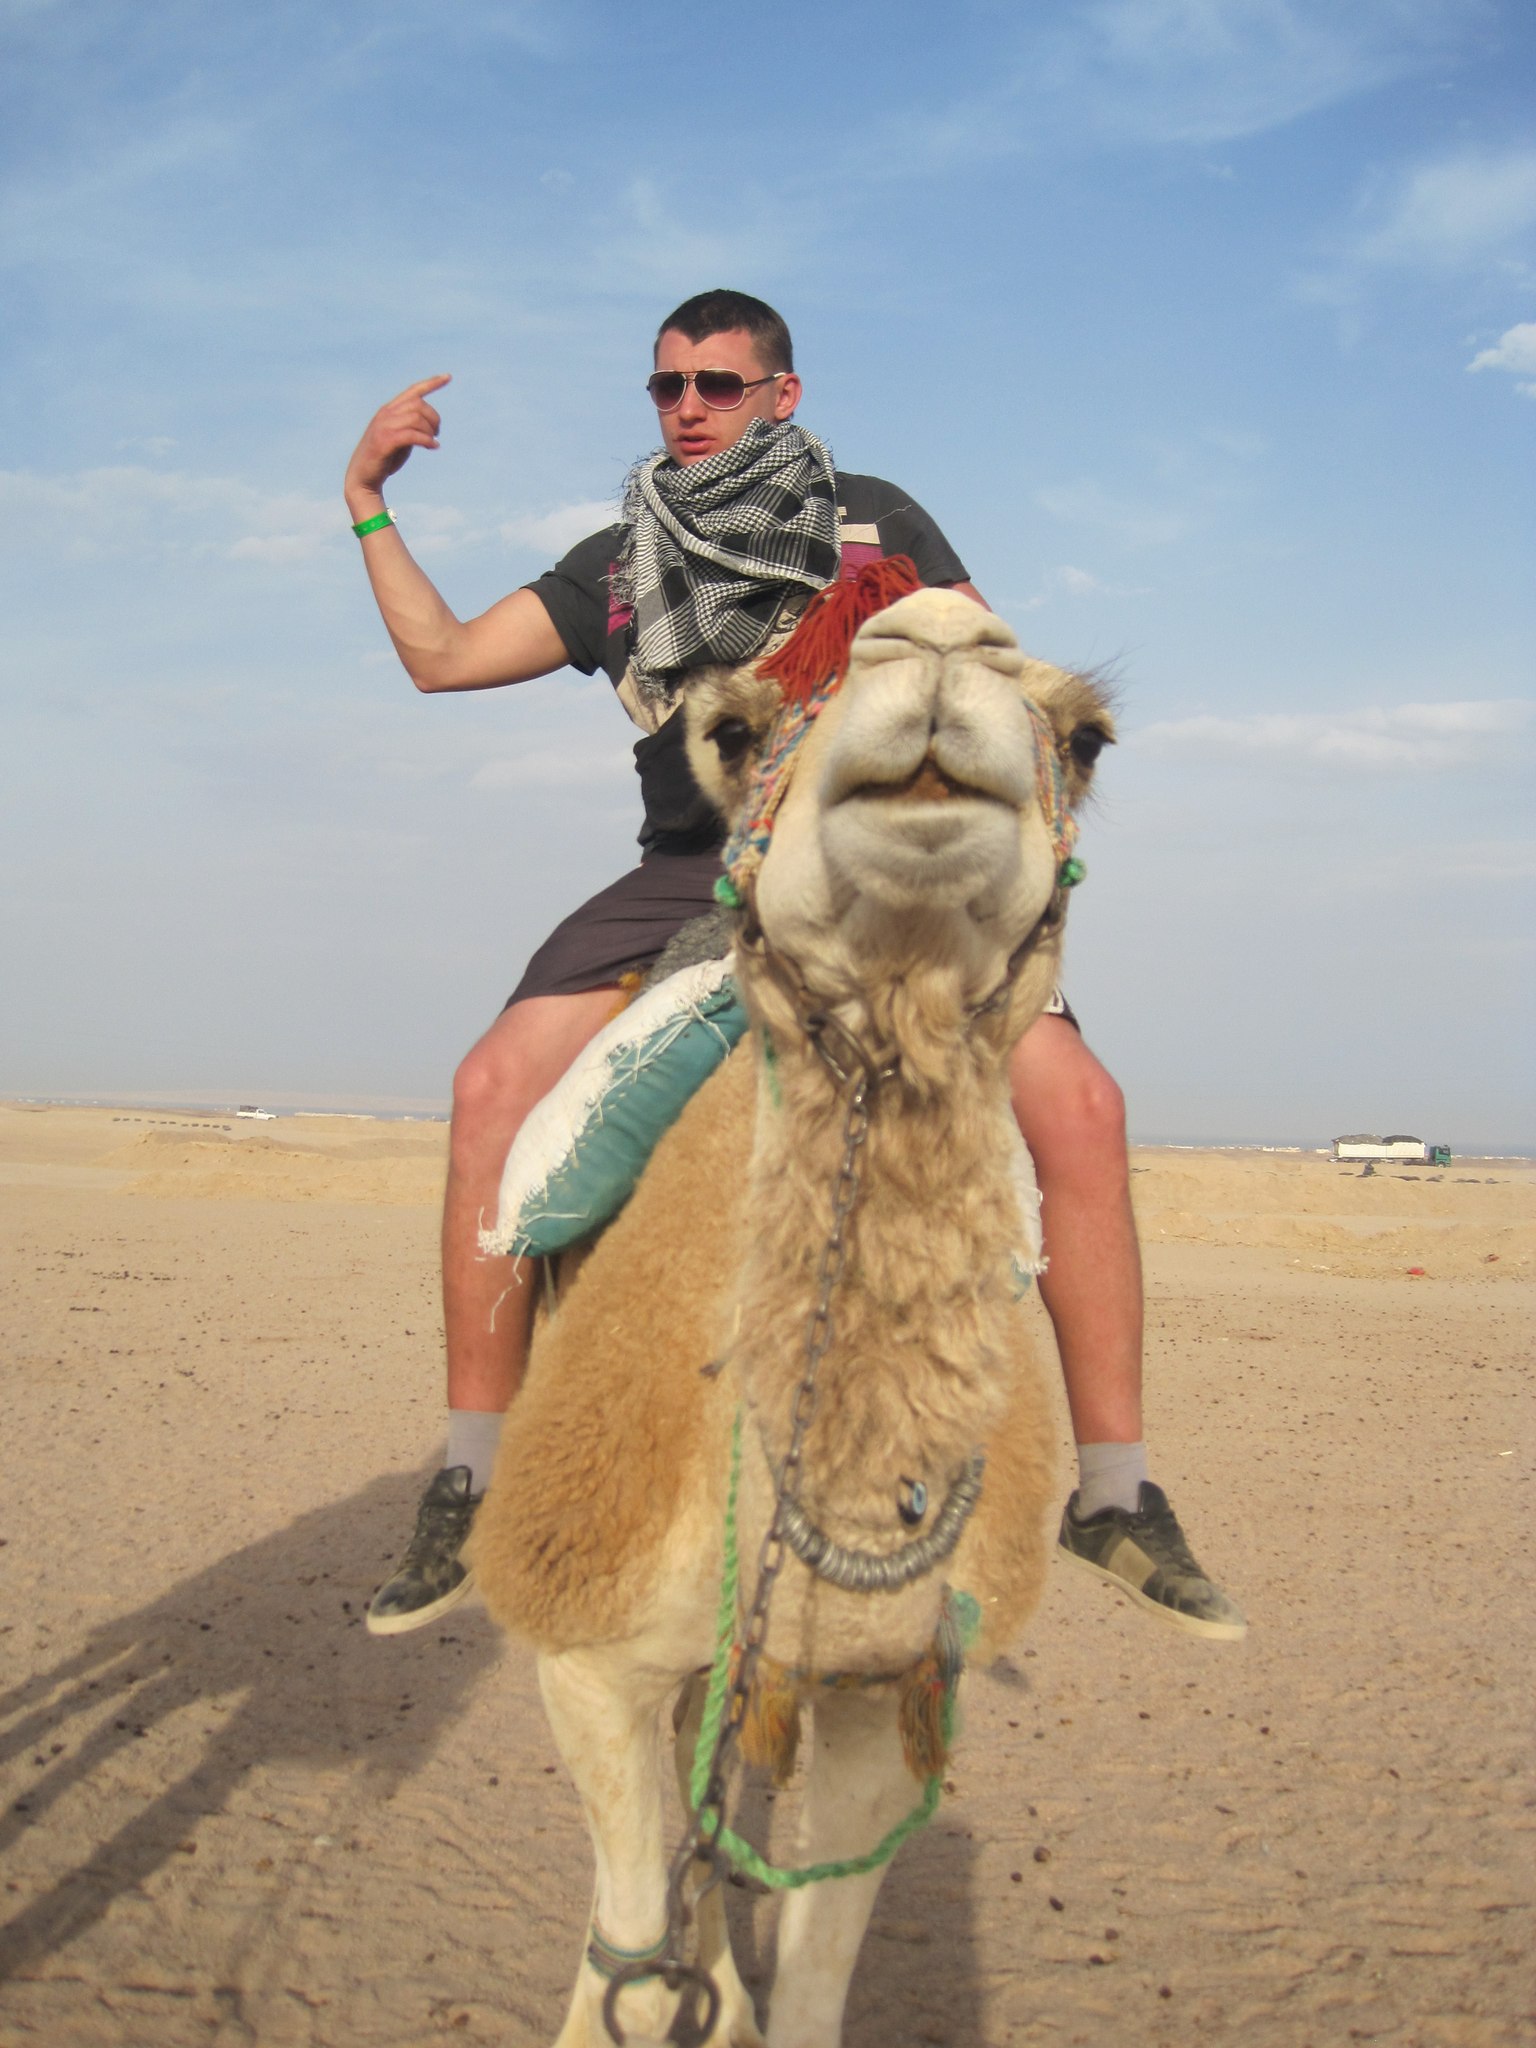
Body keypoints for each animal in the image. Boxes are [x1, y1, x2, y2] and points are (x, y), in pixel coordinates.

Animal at [473, 580, 1115, 2047]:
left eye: (1088, 738)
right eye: (734, 730)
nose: (935, 637)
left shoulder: (886, 1690)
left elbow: (814, 1979)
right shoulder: (582, 1651)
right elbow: (633, 1957)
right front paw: (647, 1991)